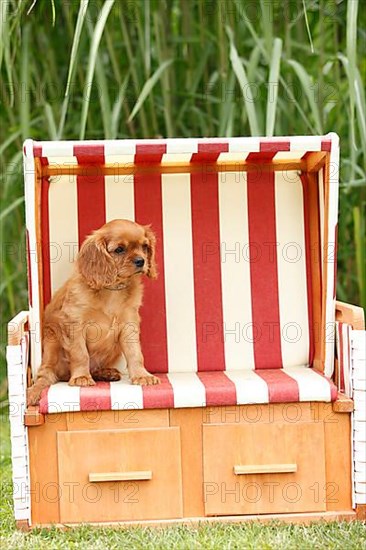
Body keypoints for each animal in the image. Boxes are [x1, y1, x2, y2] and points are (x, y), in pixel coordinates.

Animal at [26, 218, 161, 408]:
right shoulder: (74, 324)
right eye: (119, 249)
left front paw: (142, 375)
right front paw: (81, 377)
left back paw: (105, 373)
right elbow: (80, 353)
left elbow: (135, 352)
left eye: (144, 246)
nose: (141, 261)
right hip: (52, 342)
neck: (113, 289)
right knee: (45, 374)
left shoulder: (129, 324)